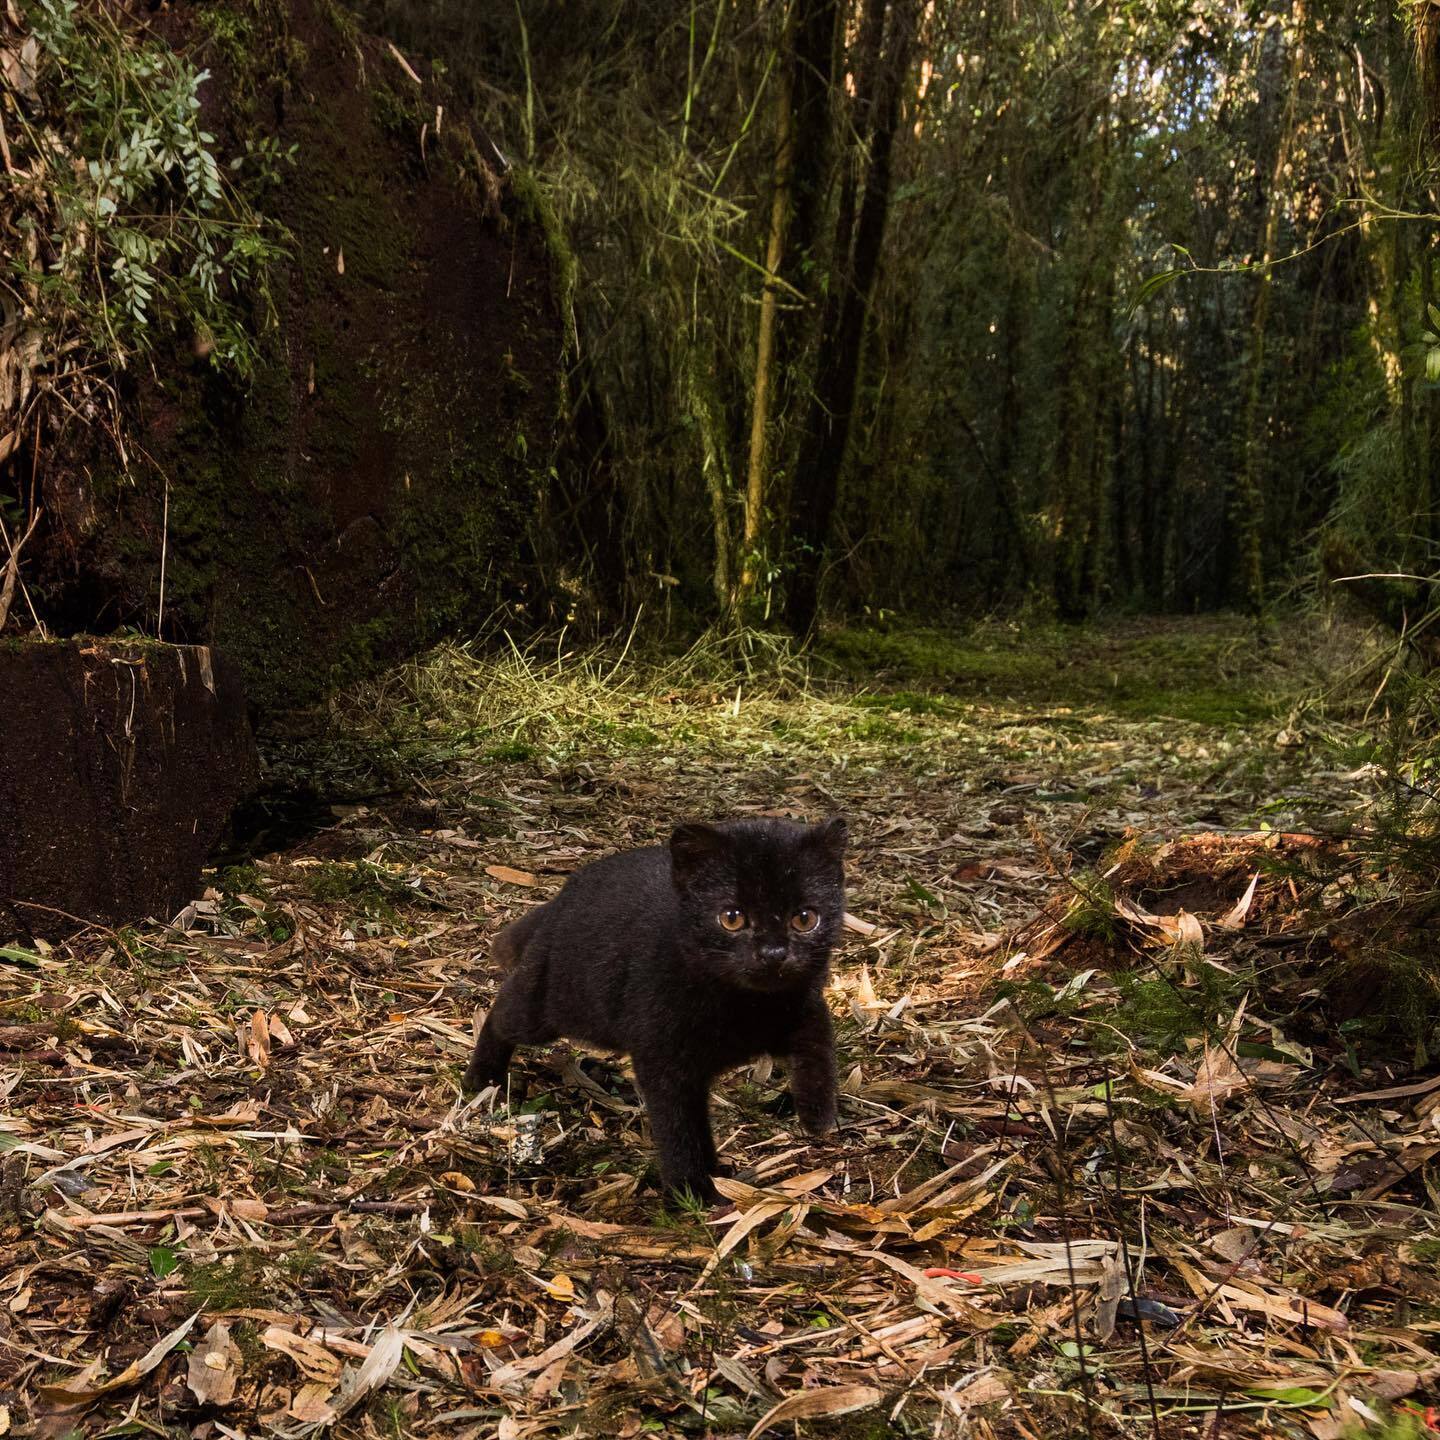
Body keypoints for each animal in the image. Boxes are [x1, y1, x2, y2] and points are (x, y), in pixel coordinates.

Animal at [457, 817, 840, 1198]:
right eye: (732, 917)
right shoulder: (665, 1063)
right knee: (501, 1012)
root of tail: (564, 894)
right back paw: (482, 1077)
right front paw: (692, 1191)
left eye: (805, 918)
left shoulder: (805, 1005)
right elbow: (678, 1129)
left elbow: (818, 1047)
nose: (774, 954)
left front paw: (816, 1114)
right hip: (547, 1007)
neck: (748, 1006)